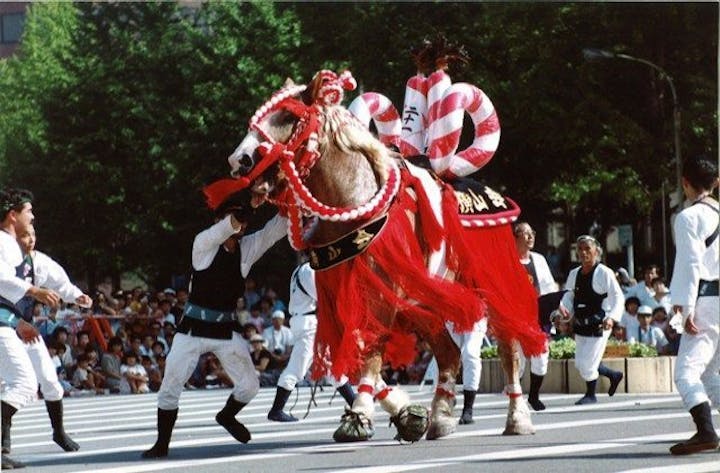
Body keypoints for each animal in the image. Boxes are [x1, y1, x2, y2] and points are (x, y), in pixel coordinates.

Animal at [205, 40, 544, 442]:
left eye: (287, 116)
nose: (239, 160)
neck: (352, 202)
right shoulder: (340, 291)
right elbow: (353, 351)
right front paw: (403, 412)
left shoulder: (383, 286)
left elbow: (370, 346)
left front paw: (360, 415)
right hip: (427, 298)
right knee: (448, 354)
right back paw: (441, 416)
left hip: (487, 280)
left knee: (509, 344)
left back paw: (517, 417)